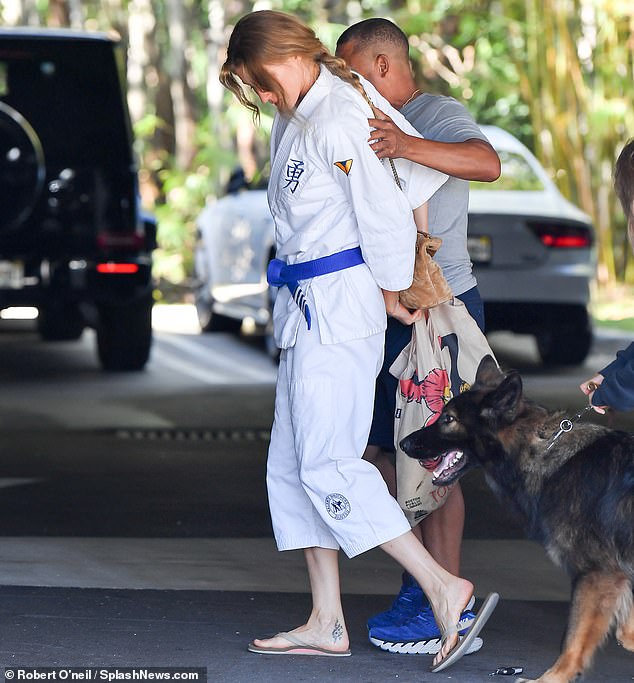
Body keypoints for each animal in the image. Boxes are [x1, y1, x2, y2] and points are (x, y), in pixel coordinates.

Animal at [398, 358, 628, 683]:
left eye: (448, 419)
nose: (404, 444)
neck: (541, 448)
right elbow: (625, 628)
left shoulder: (596, 573)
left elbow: (573, 639)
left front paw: (551, 678)